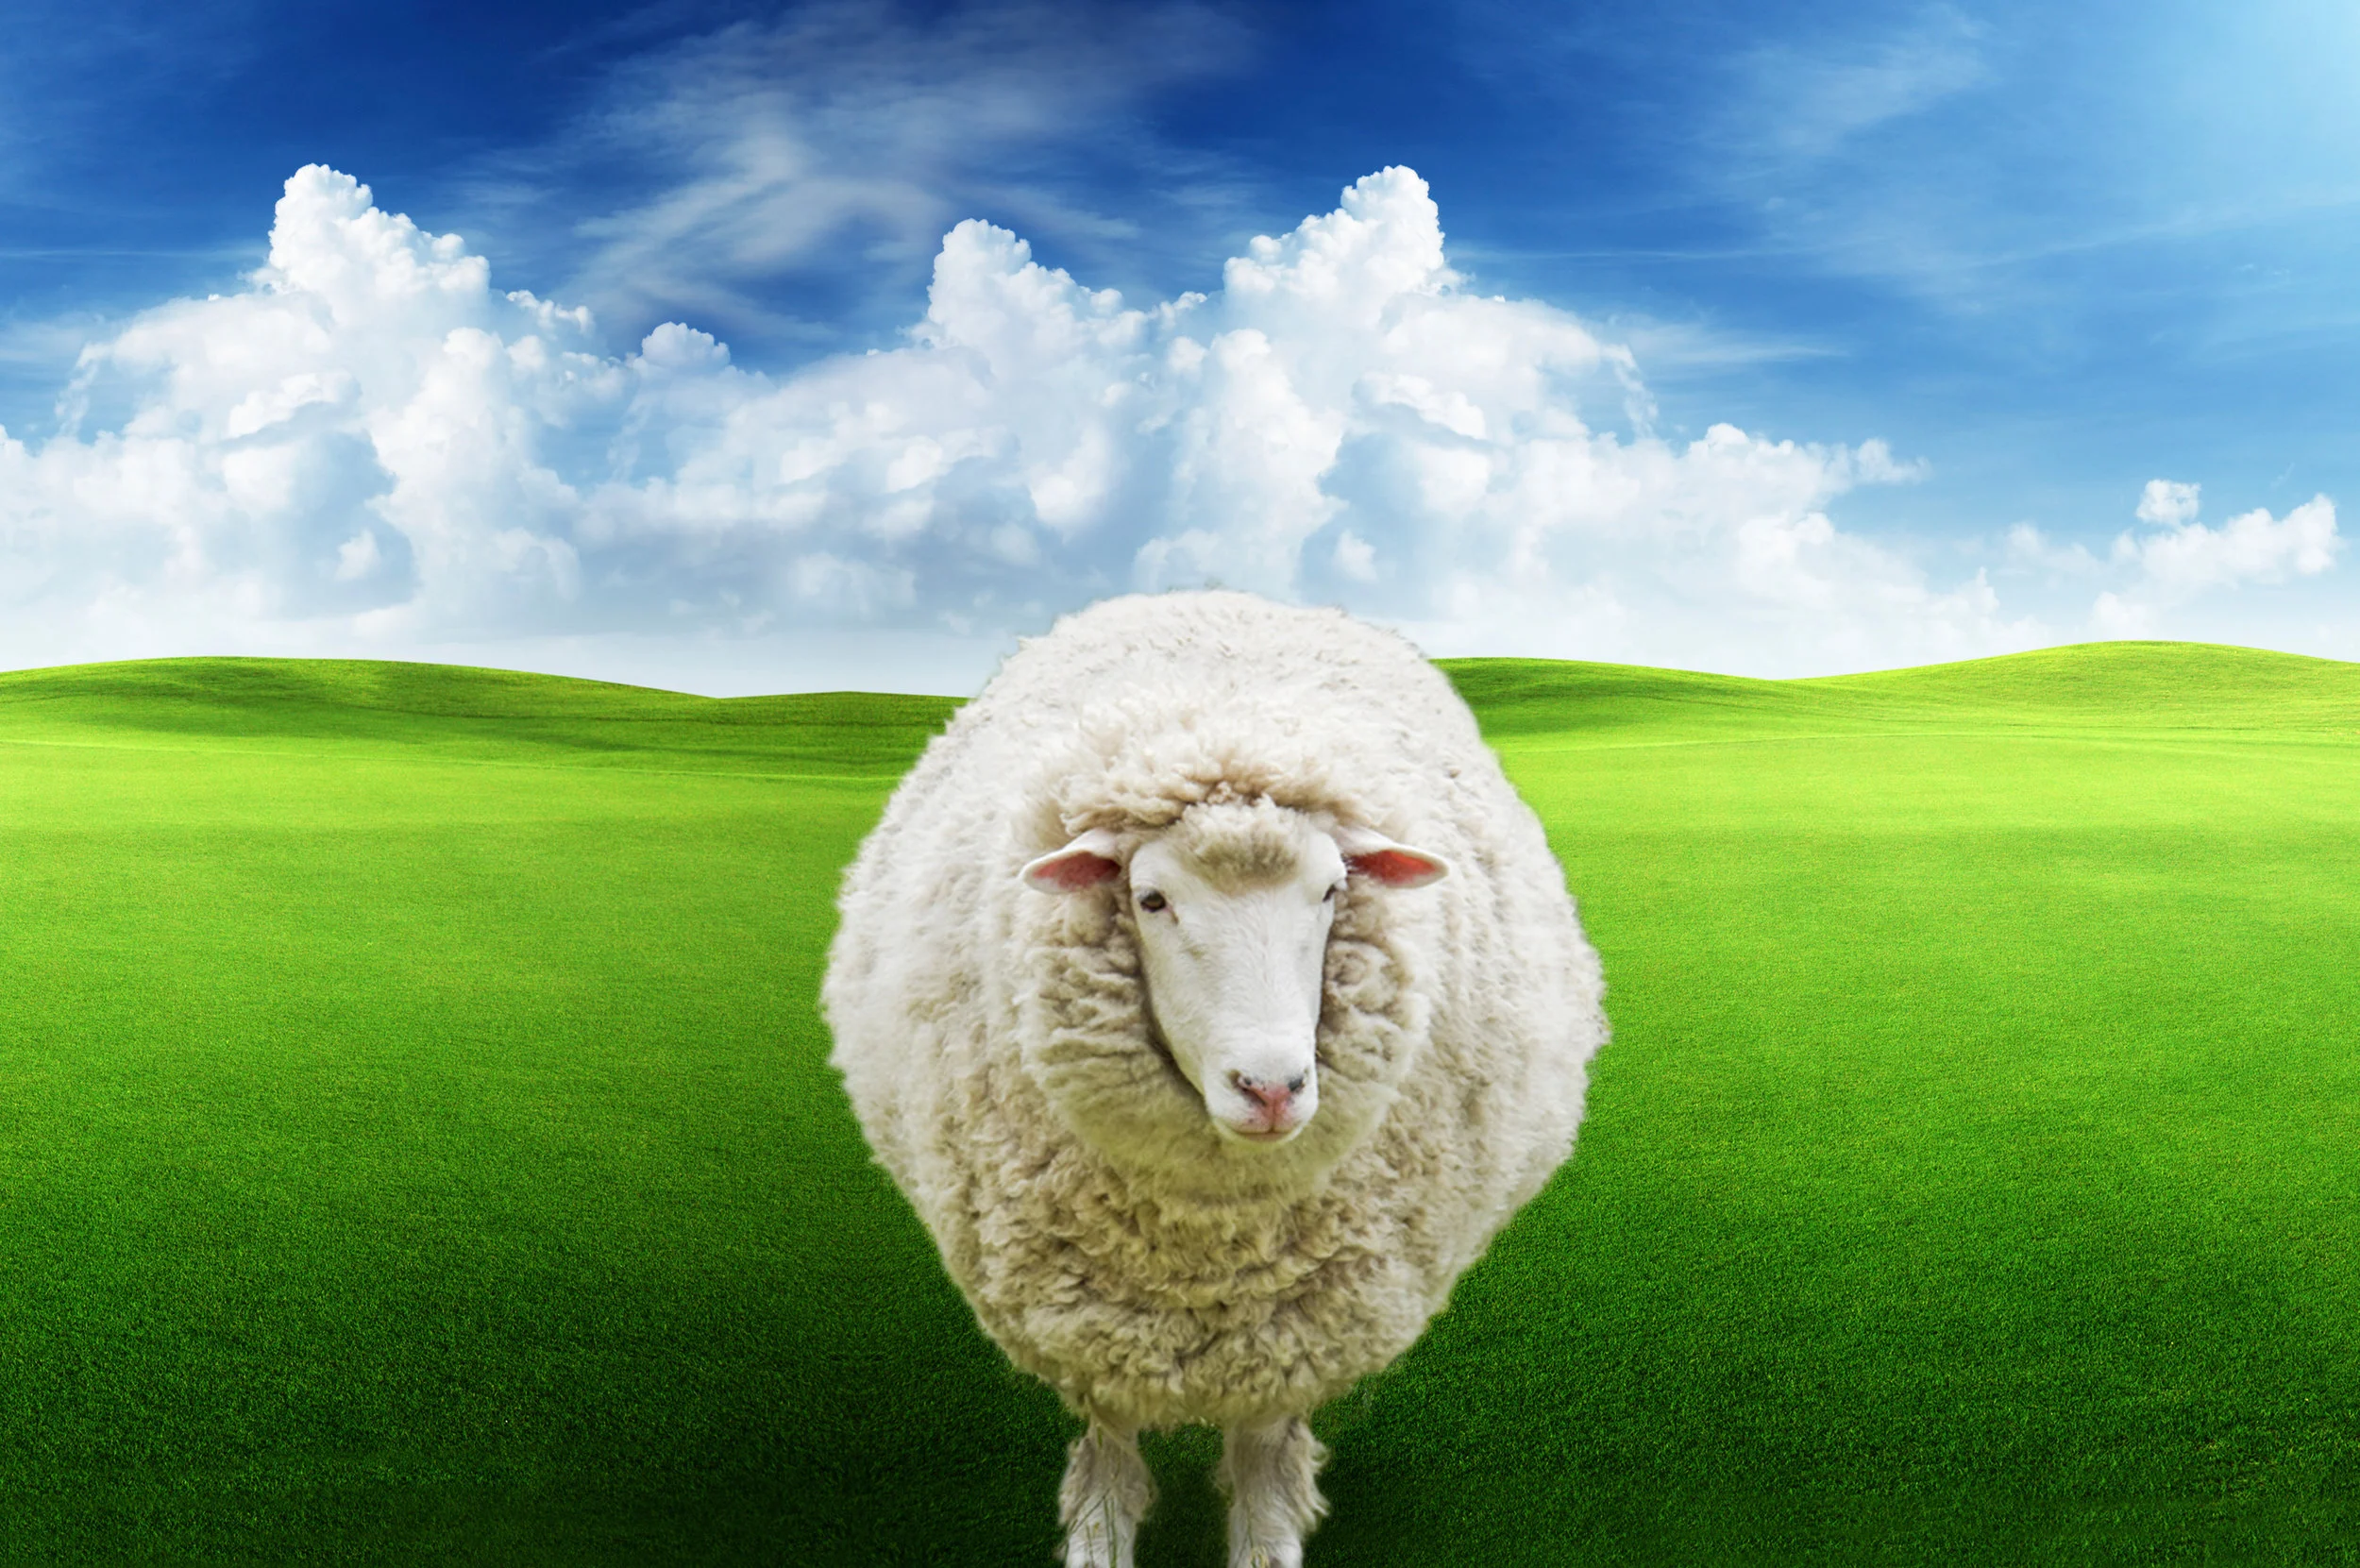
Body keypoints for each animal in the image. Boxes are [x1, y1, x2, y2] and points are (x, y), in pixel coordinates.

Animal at [823, 589, 1606, 1567]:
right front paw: (1100, 1524)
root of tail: (1224, 595)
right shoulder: (1091, 1319)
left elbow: (1265, 1463)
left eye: (1331, 889)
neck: (1211, 1245)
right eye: (1151, 897)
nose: (1270, 1087)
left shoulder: (1289, 1330)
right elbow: (1111, 1450)